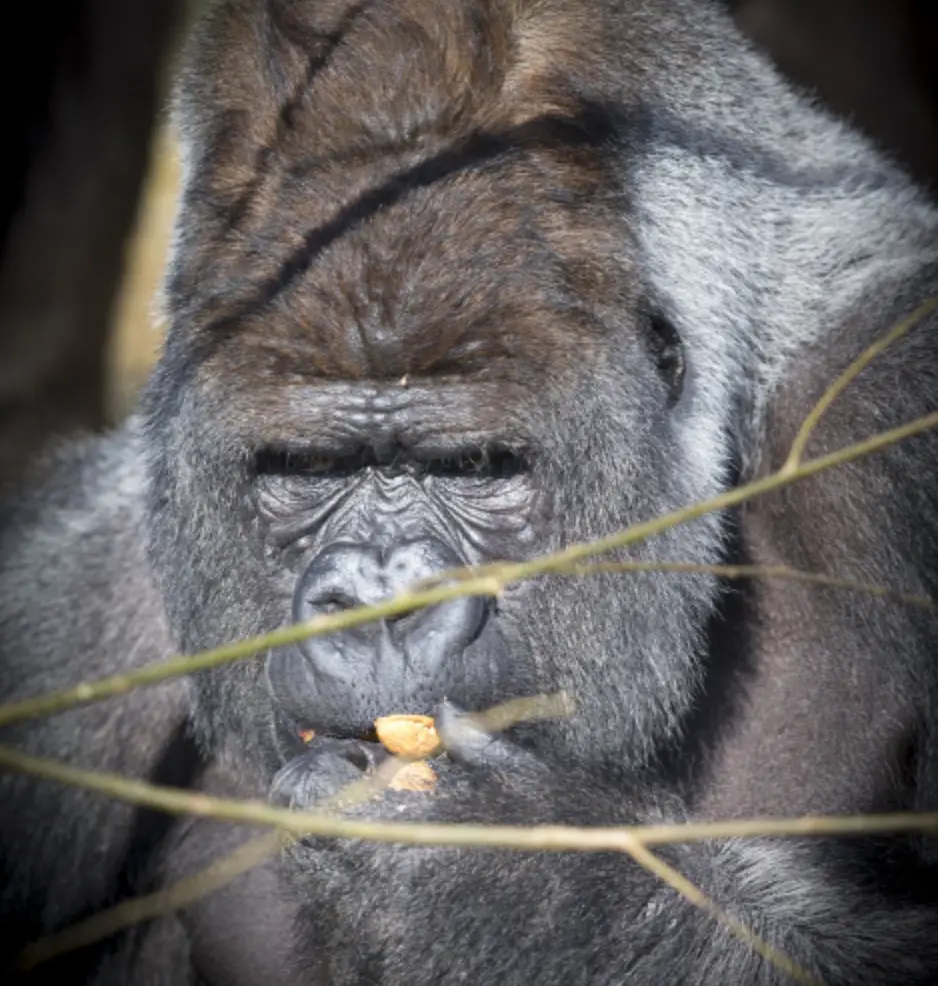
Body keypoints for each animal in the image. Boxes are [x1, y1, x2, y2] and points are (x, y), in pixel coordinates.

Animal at [2, 0, 938, 983]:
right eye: (309, 470)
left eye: (475, 468)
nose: (378, 602)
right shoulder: (61, 625)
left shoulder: (894, 407)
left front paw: (506, 882)